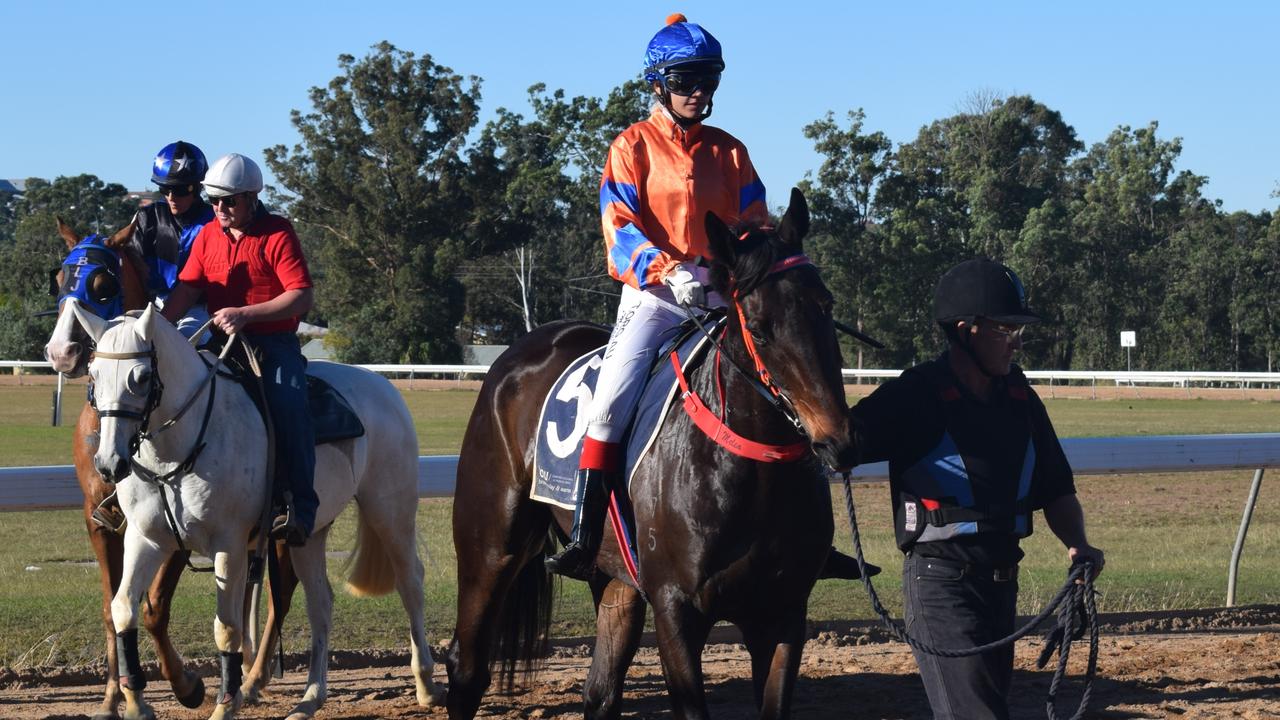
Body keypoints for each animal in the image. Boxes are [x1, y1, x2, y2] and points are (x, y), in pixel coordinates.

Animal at [87, 303, 442, 717]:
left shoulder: (229, 546)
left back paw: (426, 683)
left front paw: (226, 705)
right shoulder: (146, 540)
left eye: (141, 377)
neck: (180, 448)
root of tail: (382, 386)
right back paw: (310, 697)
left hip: (390, 511)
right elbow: (124, 607)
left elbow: (227, 628)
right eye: (93, 374)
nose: (109, 463)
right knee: (321, 602)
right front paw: (136, 703)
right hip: (309, 533)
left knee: (410, 582)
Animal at [445, 188, 855, 712]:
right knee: (468, 667)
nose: (838, 440)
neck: (750, 475)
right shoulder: (676, 611)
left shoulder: (782, 615)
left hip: (614, 577)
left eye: (826, 305)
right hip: (491, 547)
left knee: (600, 692)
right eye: (760, 328)